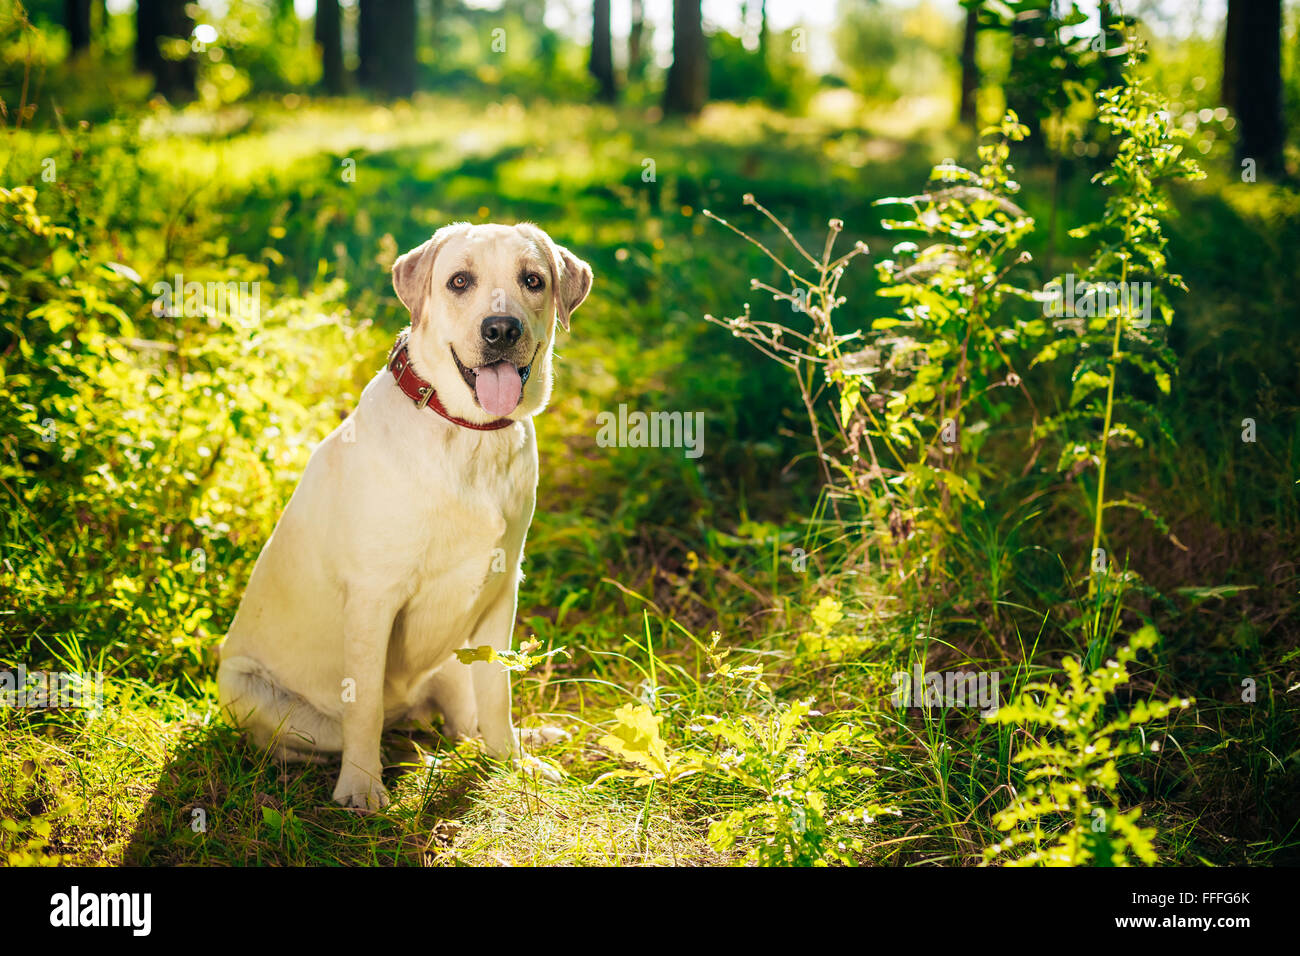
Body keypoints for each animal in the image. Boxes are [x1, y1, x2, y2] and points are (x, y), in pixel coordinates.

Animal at [219, 222, 595, 806]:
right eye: (459, 281)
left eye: (532, 280)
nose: (501, 329)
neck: (468, 433)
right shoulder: (373, 598)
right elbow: (365, 705)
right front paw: (362, 787)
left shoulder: (501, 591)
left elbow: (498, 692)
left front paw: (512, 766)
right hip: (247, 688)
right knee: (330, 735)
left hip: (451, 663)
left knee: (466, 723)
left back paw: (521, 743)